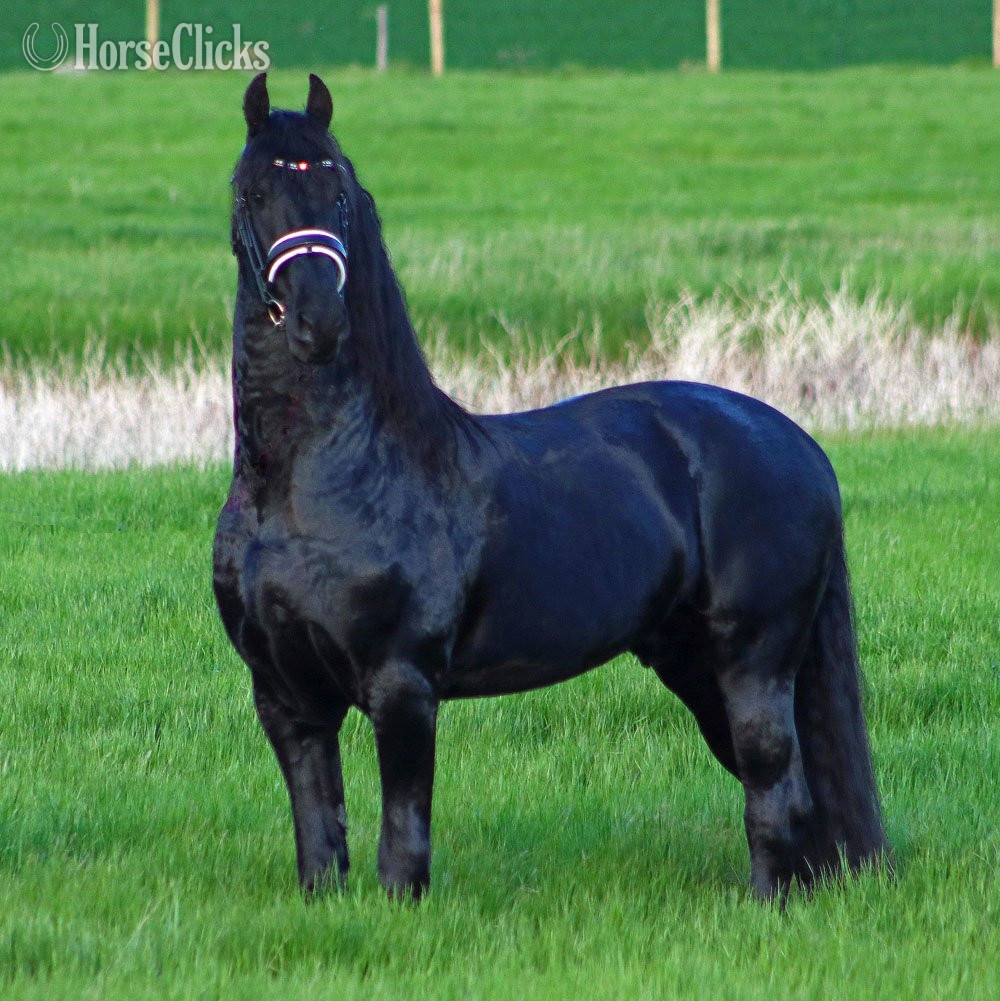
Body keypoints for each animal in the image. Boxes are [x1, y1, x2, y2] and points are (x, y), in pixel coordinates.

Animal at [213, 73, 890, 905]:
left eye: (337, 191)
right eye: (253, 190)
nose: (318, 321)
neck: (316, 486)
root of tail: (803, 446)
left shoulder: (404, 685)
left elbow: (402, 838)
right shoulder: (285, 696)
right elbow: (320, 838)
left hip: (753, 660)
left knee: (773, 786)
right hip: (694, 663)